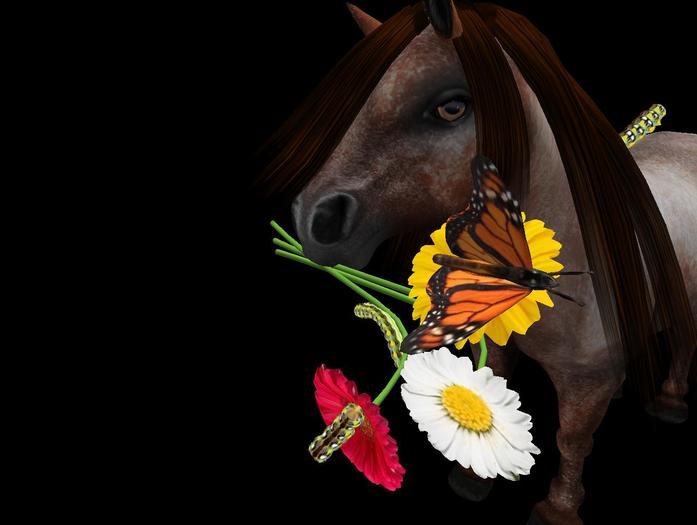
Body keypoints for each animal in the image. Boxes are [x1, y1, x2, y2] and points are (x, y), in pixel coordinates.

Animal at [259, 2, 697, 524]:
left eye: (452, 107)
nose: (313, 219)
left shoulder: (586, 380)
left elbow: (572, 438)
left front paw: (558, 508)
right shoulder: (505, 348)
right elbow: (496, 389)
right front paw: (473, 478)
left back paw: (670, 400)